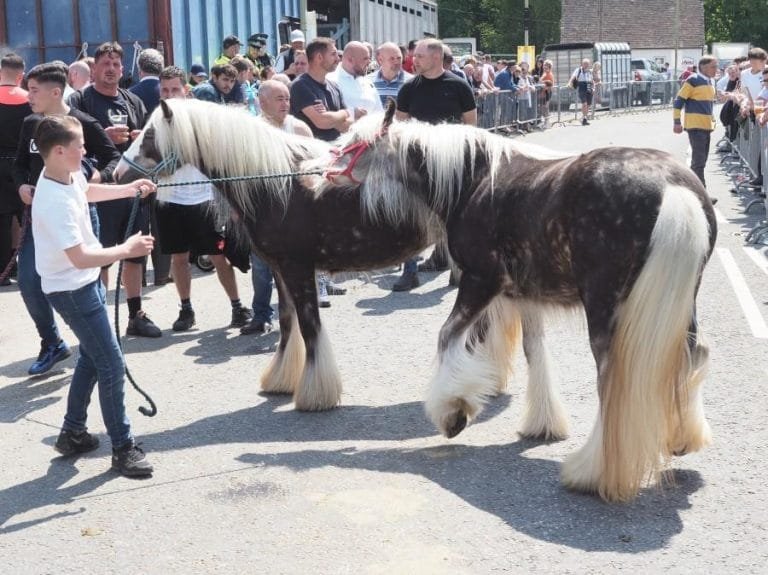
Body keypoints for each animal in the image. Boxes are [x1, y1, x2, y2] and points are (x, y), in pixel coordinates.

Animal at [114, 99, 447, 413]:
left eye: (150, 135)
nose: (118, 174)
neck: (279, 184)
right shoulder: (280, 270)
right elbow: (288, 321)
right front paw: (281, 379)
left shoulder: (298, 269)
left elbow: (310, 325)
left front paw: (315, 394)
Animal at [305, 105, 717, 502]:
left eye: (353, 143)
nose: (313, 177)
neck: (472, 181)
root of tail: (672, 188)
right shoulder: (525, 296)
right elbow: (534, 351)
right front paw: (543, 425)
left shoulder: (480, 281)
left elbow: (447, 336)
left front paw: (453, 411)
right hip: (682, 302)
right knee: (694, 355)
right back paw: (681, 438)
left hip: (605, 307)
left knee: (613, 379)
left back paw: (592, 473)